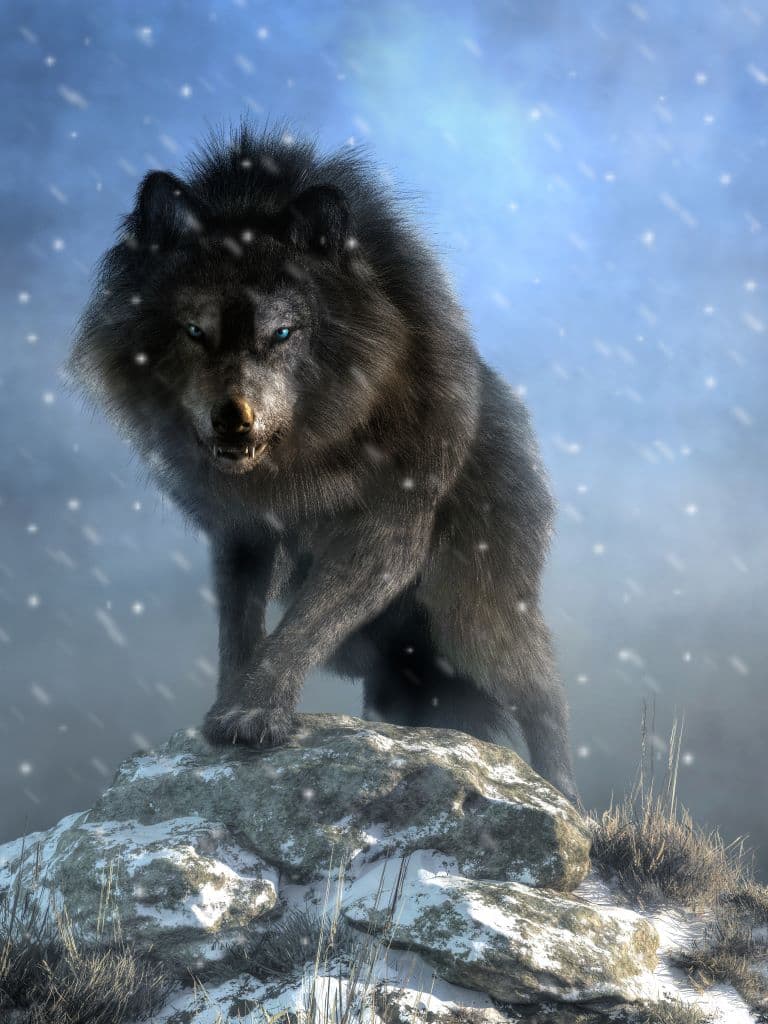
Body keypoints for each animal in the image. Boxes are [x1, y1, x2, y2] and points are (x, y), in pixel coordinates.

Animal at [66, 121, 578, 802]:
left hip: (470, 615)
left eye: (282, 333)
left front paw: (255, 712)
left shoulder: (387, 531)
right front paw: (227, 709)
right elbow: (241, 630)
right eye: (195, 331)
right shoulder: (240, 534)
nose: (234, 418)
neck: (305, 455)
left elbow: (303, 625)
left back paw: (570, 800)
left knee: (542, 689)